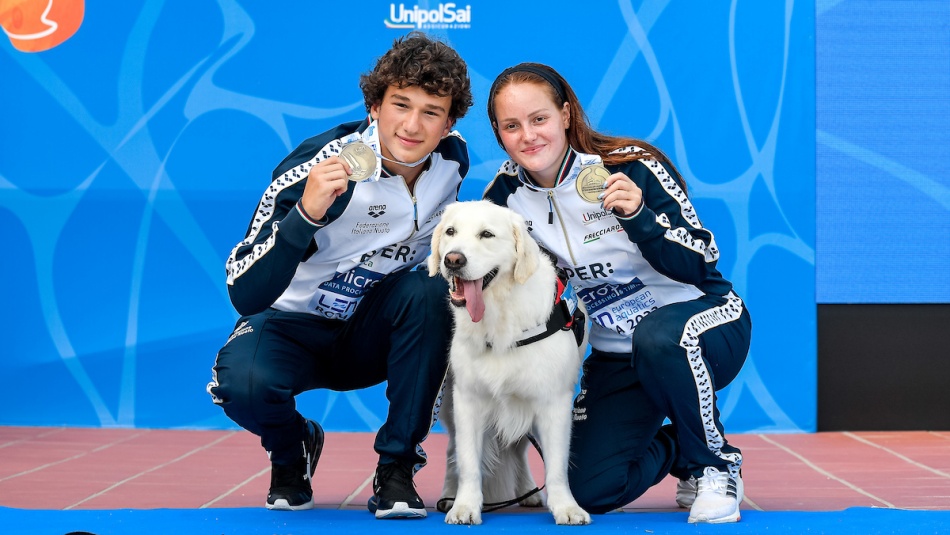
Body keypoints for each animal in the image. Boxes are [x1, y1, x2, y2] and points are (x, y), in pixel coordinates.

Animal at [430, 201, 592, 528]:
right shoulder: (468, 401)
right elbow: (468, 461)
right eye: (451, 231)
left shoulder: (552, 402)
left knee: (518, 450)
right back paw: (449, 495)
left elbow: (556, 466)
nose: (453, 259)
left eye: (487, 234)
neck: (499, 316)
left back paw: (528, 491)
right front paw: (465, 506)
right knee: (453, 451)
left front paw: (566, 507)